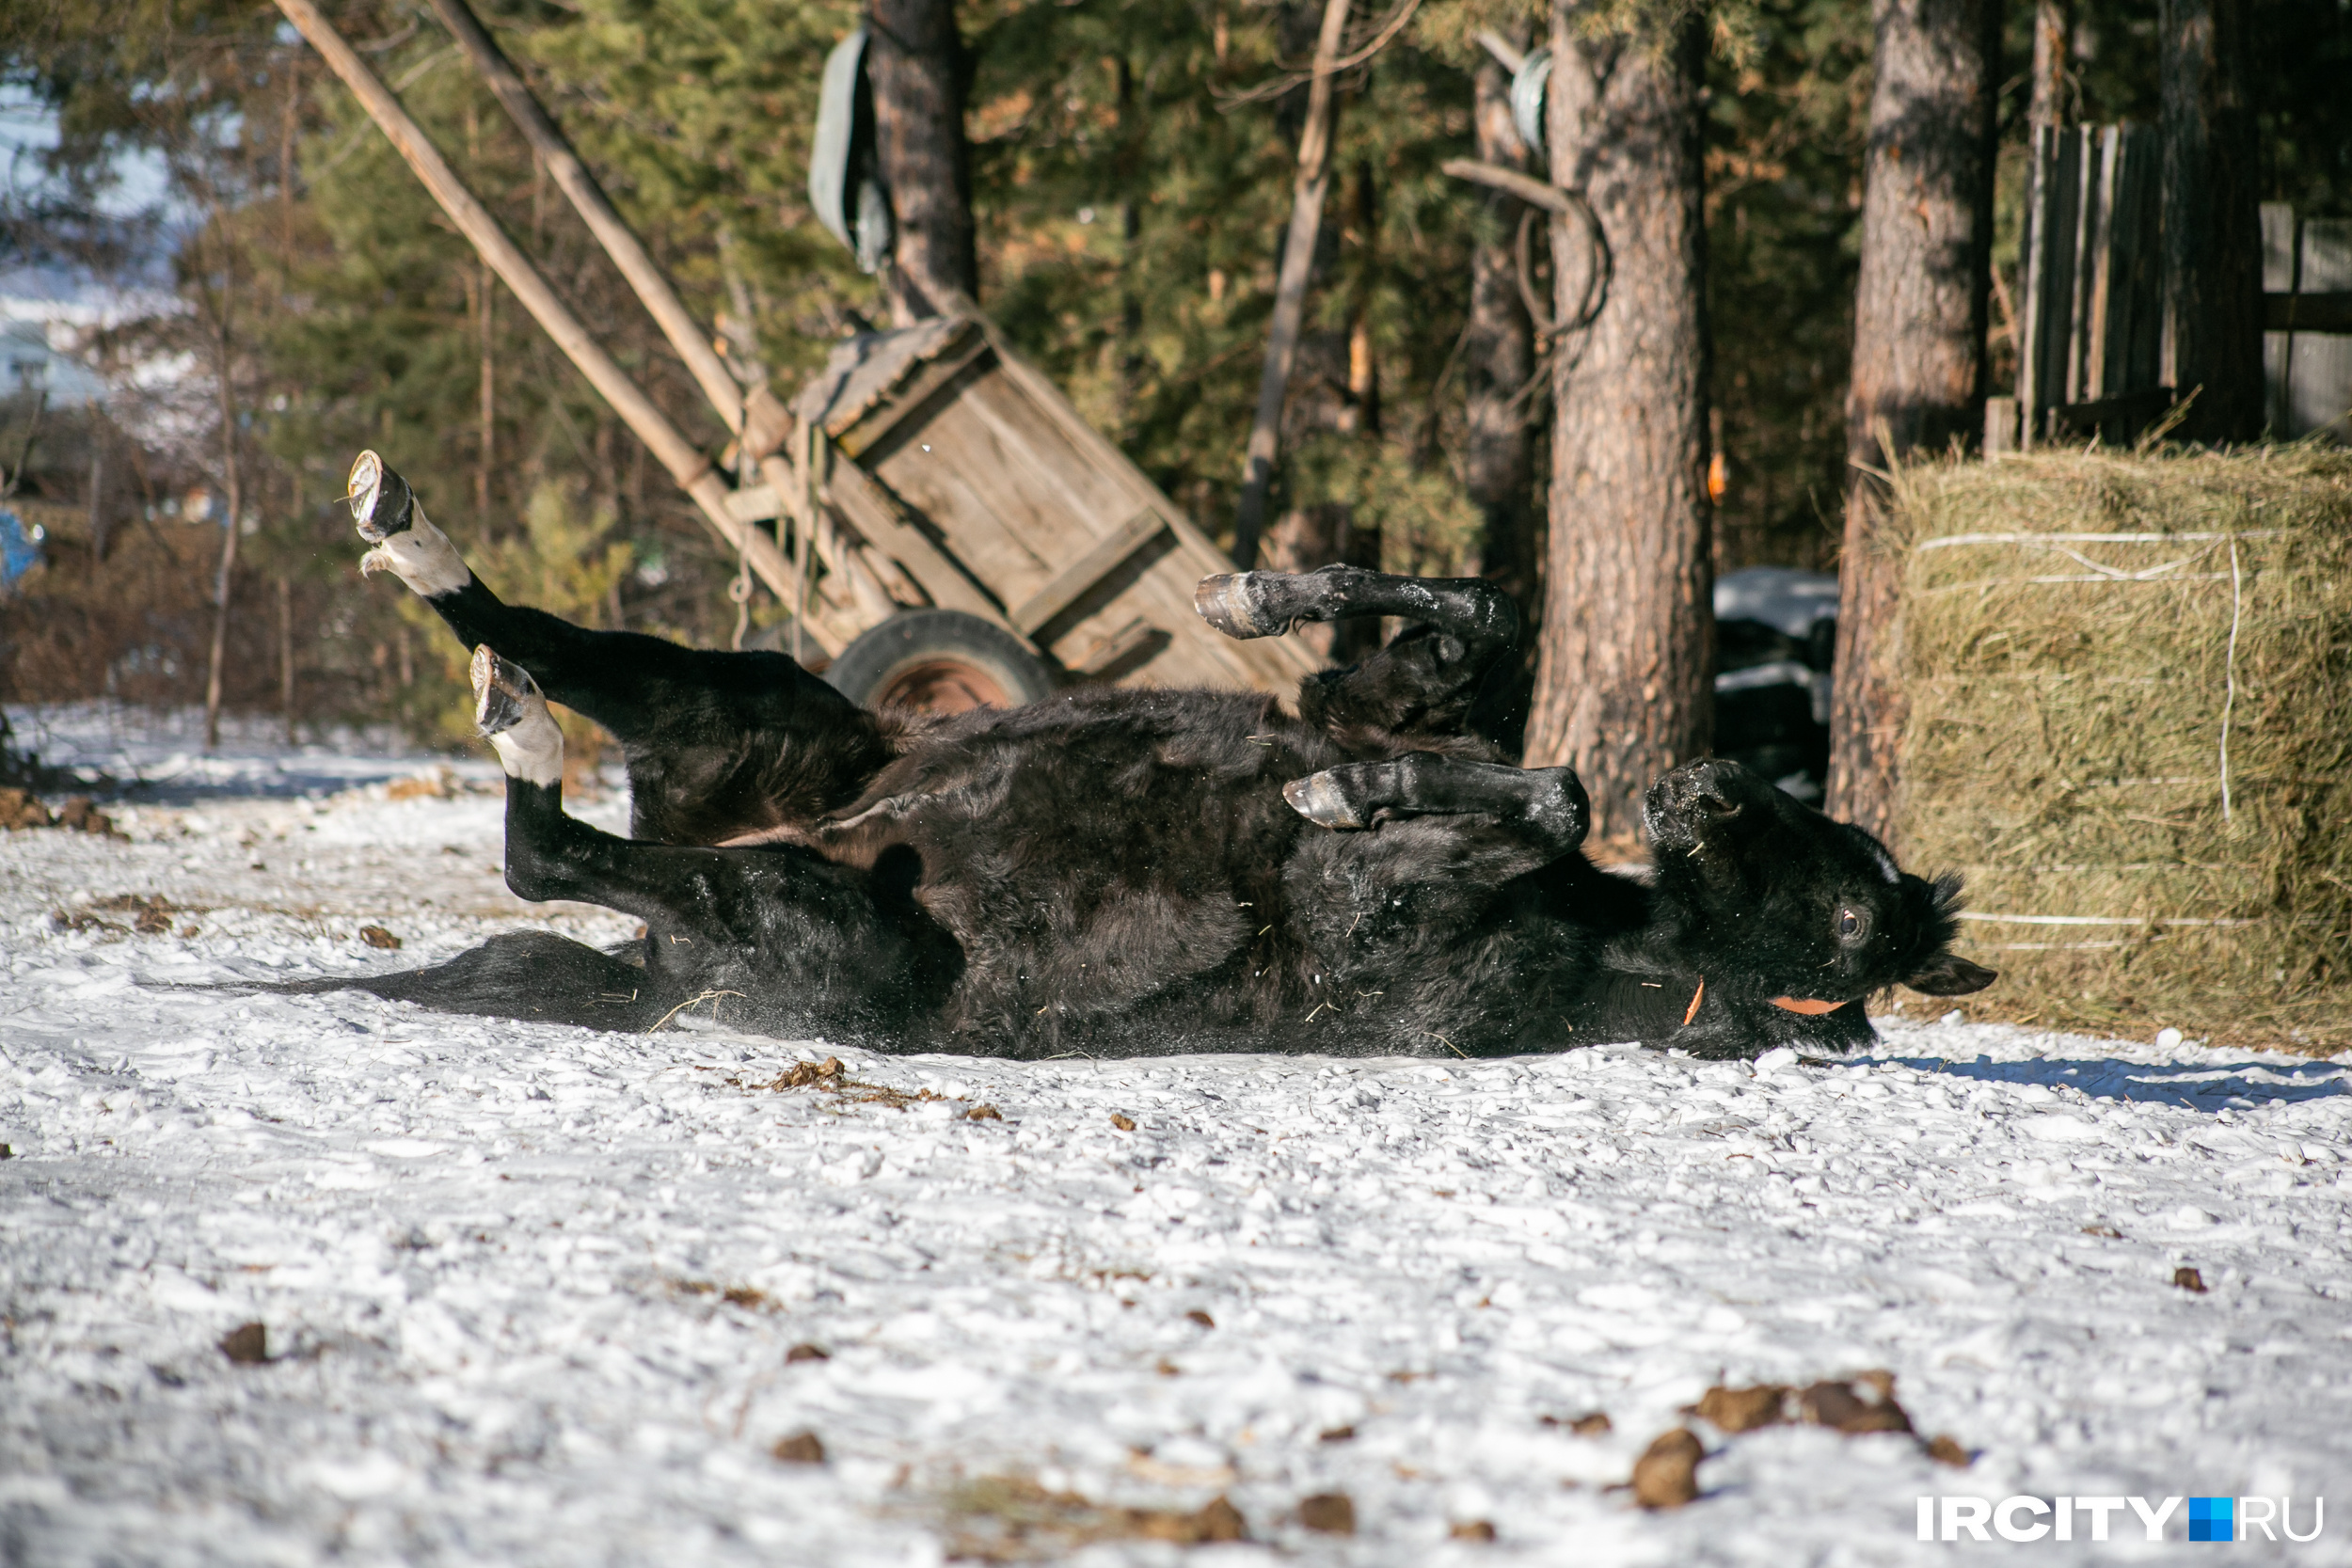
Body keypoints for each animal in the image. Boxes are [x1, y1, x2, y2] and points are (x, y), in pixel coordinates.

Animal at [284, 455, 1994, 1067]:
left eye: (1855, 913)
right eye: (1832, 838)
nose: (1700, 789)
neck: (1606, 933)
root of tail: (658, 973)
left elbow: (1537, 789)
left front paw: (1339, 795)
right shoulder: (1393, 694)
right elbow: (1468, 616)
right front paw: (1249, 594)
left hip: (825, 914)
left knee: (550, 848)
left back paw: (515, 718)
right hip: (754, 712)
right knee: (540, 649)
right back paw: (413, 542)